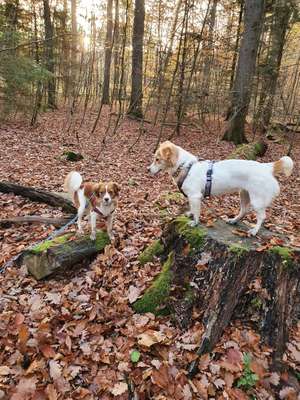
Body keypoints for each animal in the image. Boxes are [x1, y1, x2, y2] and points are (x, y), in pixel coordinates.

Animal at [149, 141, 294, 236]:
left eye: (157, 159)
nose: (148, 169)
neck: (186, 166)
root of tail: (267, 167)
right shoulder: (193, 197)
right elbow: (192, 208)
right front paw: (190, 213)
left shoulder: (195, 196)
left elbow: (196, 212)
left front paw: (195, 222)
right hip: (244, 194)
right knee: (244, 211)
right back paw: (233, 220)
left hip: (257, 200)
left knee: (262, 216)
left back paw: (254, 230)